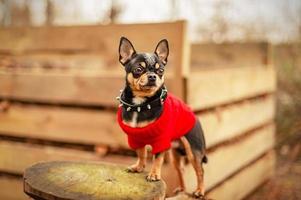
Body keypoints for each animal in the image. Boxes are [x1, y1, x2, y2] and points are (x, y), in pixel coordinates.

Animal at [115, 37, 206, 198]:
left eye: (161, 71)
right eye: (138, 69)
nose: (152, 76)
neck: (141, 104)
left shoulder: (160, 141)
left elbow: (157, 159)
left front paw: (154, 175)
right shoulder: (135, 138)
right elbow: (141, 154)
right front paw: (139, 167)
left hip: (194, 152)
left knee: (200, 171)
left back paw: (199, 191)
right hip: (176, 156)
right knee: (181, 170)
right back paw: (181, 189)